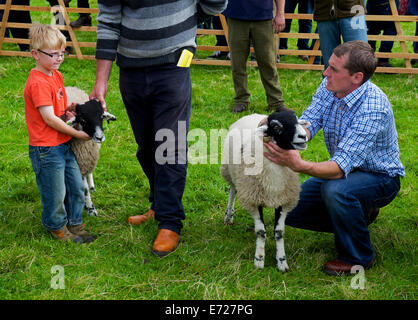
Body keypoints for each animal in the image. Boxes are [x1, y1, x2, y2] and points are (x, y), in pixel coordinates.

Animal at [220, 110, 308, 272]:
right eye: (276, 126)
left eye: (297, 120)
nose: (303, 136)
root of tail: (252, 114)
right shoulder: (253, 200)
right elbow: (261, 232)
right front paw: (259, 260)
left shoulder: (283, 200)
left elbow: (279, 233)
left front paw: (282, 261)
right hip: (230, 171)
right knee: (232, 191)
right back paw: (228, 216)